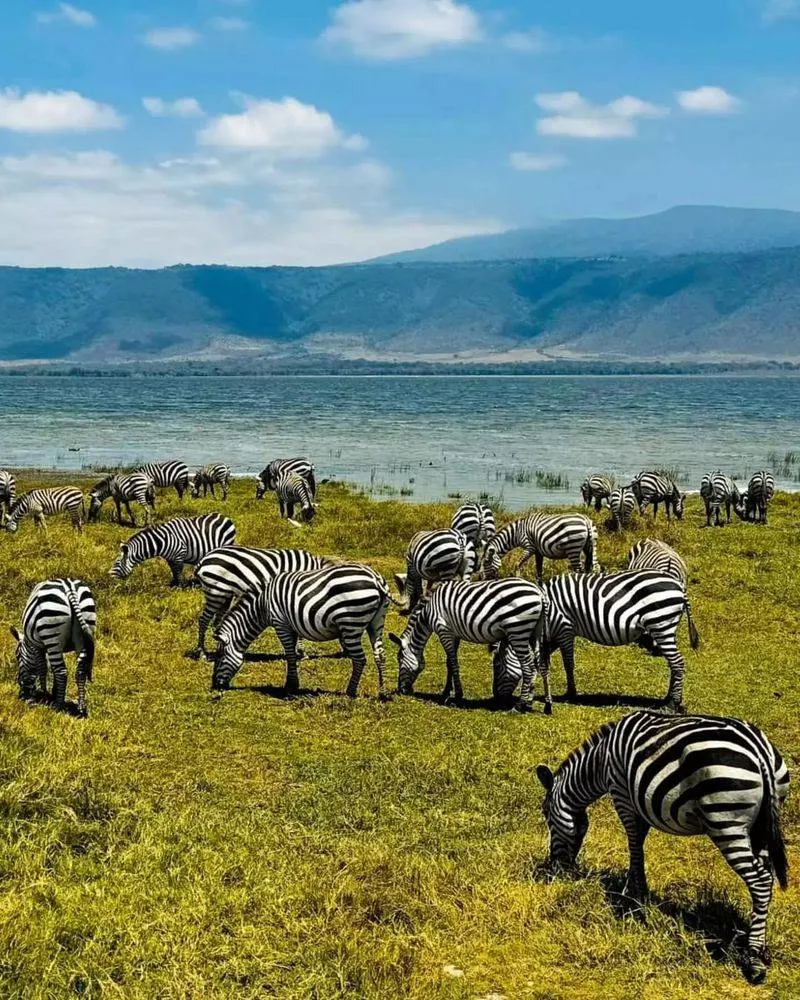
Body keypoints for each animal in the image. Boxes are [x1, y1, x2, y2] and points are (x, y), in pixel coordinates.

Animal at [10, 580, 96, 720]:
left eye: (17, 656)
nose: (22, 695)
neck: (27, 643)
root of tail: (70, 588)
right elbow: (52, 669)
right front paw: (55, 693)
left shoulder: (37, 646)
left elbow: (43, 667)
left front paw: (45, 694)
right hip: (85, 629)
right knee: (80, 671)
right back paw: (81, 708)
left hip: (51, 630)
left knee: (62, 671)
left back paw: (58, 706)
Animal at [192, 548, 332, 656]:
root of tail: (204, 559)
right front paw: (300, 652)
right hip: (215, 593)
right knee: (204, 620)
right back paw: (201, 651)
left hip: (225, 594)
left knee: (217, 621)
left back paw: (220, 649)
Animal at [212, 568, 396, 700]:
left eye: (220, 657)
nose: (215, 686)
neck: (262, 605)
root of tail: (375, 579)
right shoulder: (290, 626)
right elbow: (294, 653)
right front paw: (294, 682)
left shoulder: (281, 624)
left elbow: (290, 655)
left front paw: (291, 685)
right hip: (376, 623)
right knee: (380, 655)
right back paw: (383, 691)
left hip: (351, 623)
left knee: (360, 659)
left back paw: (349, 692)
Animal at [388, 580, 552, 712]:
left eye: (399, 660)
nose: (401, 690)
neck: (428, 612)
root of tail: (539, 593)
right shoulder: (453, 634)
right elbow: (449, 663)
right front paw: (445, 694)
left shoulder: (443, 630)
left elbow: (454, 664)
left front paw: (457, 696)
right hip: (535, 632)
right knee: (541, 665)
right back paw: (545, 705)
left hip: (518, 630)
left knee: (528, 667)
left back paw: (519, 706)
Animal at [536, 712, 792, 984]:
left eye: (546, 815)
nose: (556, 870)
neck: (600, 760)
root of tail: (759, 748)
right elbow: (639, 842)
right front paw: (637, 891)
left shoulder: (621, 793)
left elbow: (635, 843)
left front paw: (634, 895)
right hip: (760, 826)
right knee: (767, 873)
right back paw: (759, 944)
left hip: (726, 820)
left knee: (760, 880)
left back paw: (753, 958)